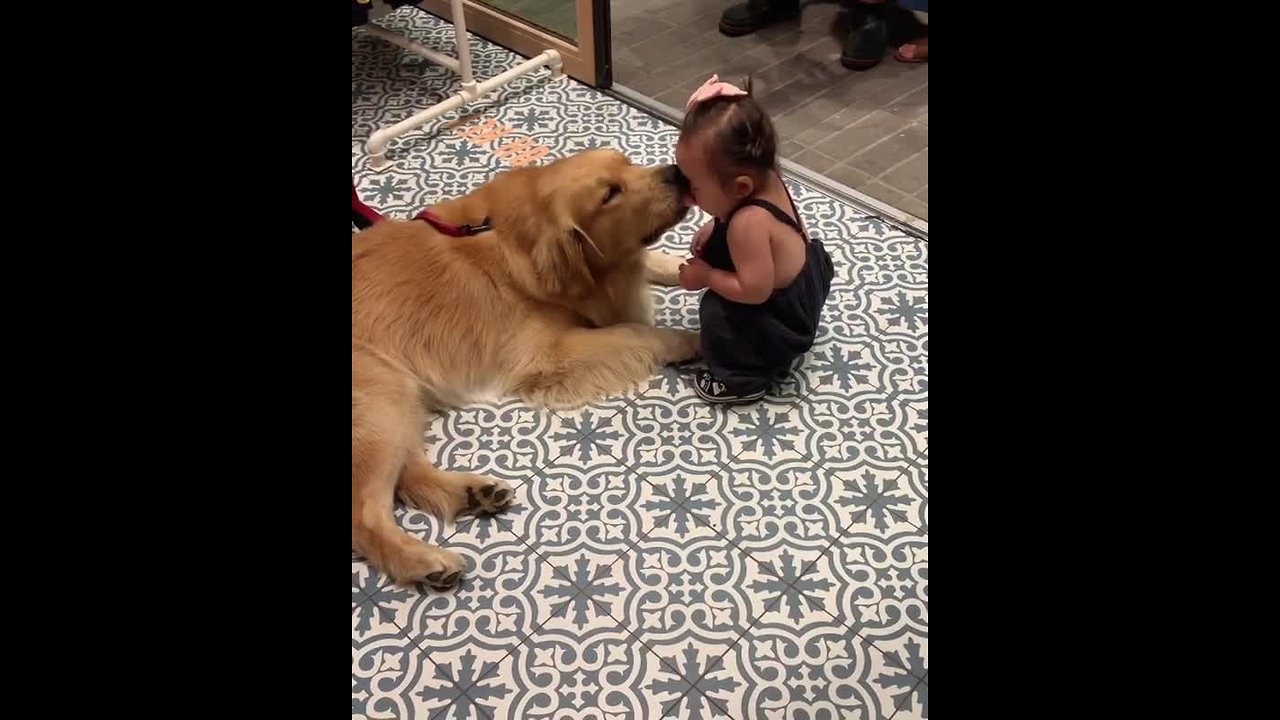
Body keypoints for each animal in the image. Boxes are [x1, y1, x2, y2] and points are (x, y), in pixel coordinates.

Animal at [353, 148, 701, 586]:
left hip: (399, 399)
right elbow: (636, 332)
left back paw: (470, 494)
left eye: (627, 162)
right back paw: (424, 561)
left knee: (408, 473)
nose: (678, 172)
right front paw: (689, 340)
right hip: (381, 395)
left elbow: (662, 262)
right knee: (365, 515)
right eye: (610, 194)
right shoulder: (549, 353)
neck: (513, 240)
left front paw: (695, 264)